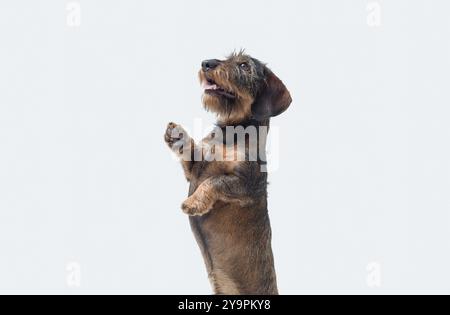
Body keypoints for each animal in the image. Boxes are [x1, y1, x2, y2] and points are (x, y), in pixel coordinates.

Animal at [165, 51, 292, 296]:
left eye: (243, 65)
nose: (206, 63)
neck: (230, 133)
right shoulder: (194, 168)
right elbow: (191, 151)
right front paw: (177, 135)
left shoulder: (245, 186)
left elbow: (214, 182)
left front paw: (193, 203)